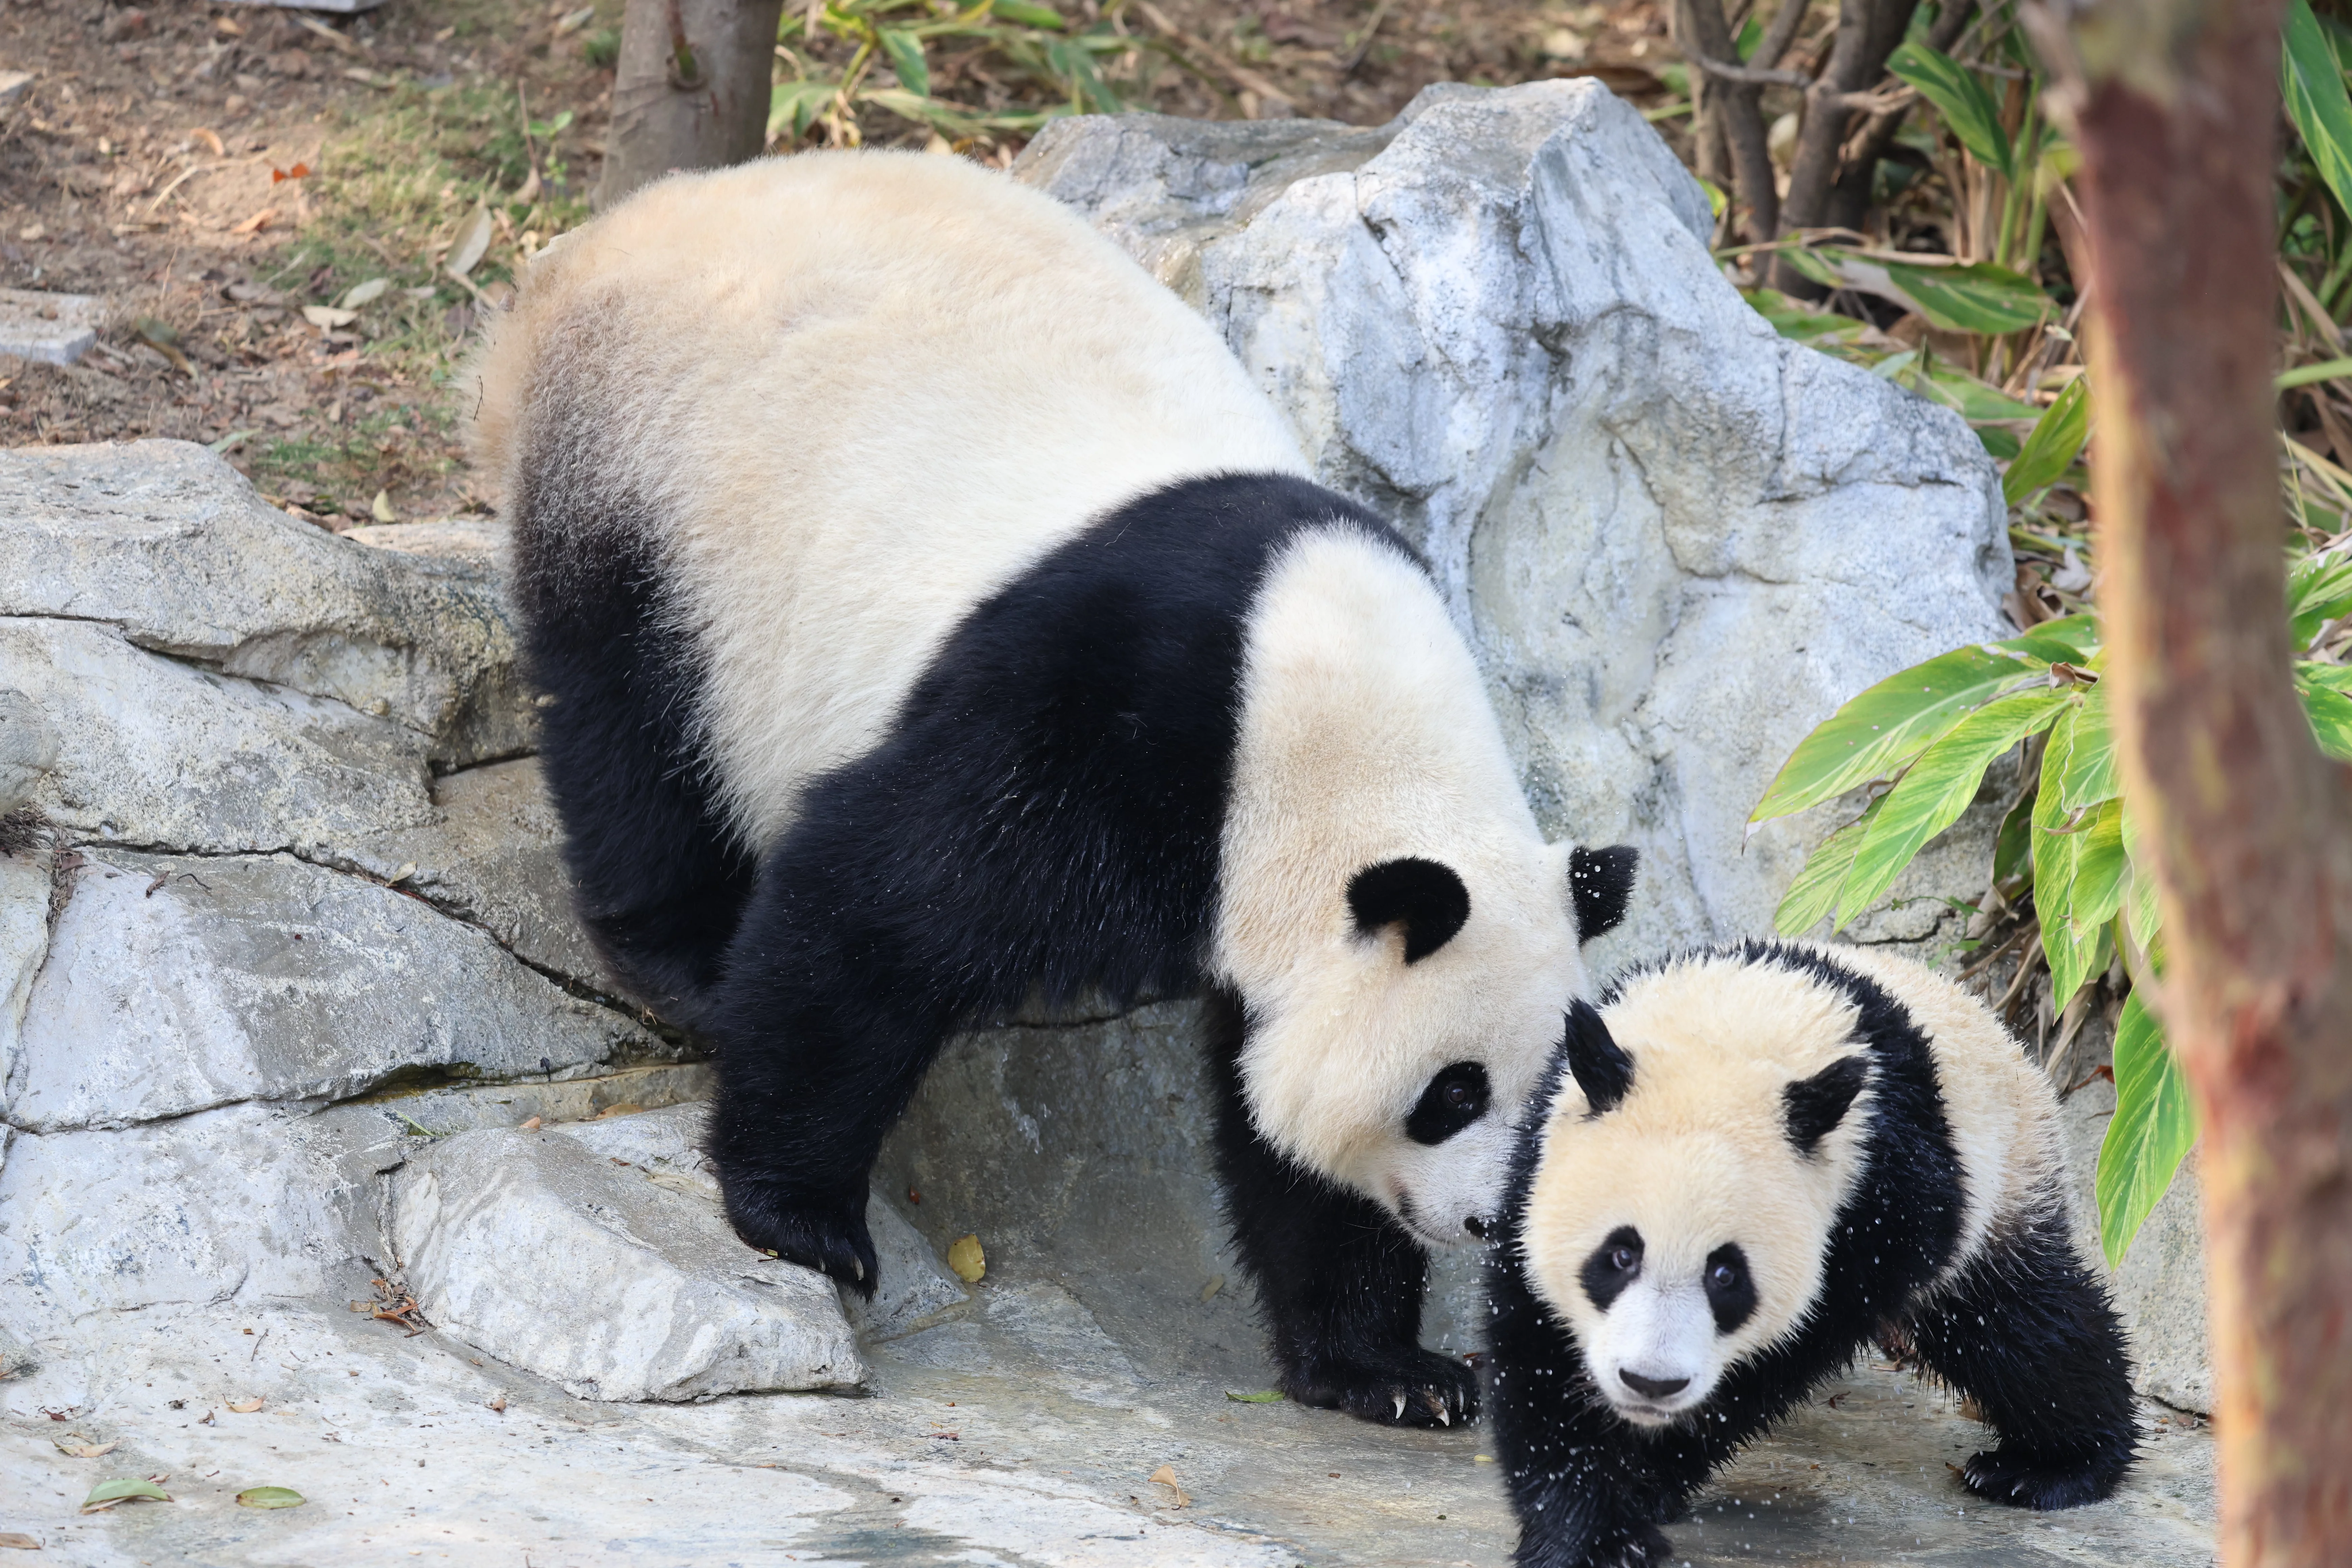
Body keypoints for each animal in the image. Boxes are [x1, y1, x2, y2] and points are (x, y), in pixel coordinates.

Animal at [468, 149, 1640, 1427]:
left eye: (1542, 1102)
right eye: (1452, 1092)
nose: (1478, 1221)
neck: (1331, 712)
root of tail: (604, 234)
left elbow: (1280, 1131)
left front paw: (1391, 1369)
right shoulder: (1113, 716)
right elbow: (881, 907)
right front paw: (803, 1219)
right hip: (660, 477)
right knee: (631, 708)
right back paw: (682, 953)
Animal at [1486, 939, 2135, 1565]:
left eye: (1727, 1275)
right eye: (1619, 1257)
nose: (1651, 1382)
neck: (1733, 1026)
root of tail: (2008, 1037)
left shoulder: (1880, 1188)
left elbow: (1785, 1352)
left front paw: (1650, 1476)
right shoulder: (1542, 1149)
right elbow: (1540, 1344)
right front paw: (1592, 1531)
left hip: (1998, 1178)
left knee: (2020, 1329)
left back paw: (2048, 1467)